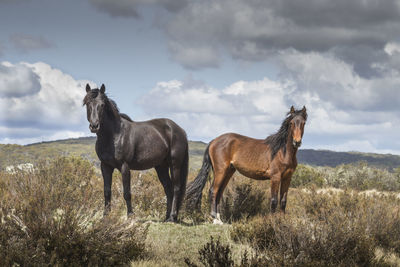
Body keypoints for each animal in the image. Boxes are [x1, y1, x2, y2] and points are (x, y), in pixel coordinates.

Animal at [83, 85, 189, 223]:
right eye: (87, 103)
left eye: (102, 105)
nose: (94, 126)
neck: (114, 135)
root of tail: (180, 130)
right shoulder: (105, 166)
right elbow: (107, 191)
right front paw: (105, 217)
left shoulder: (124, 166)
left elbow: (127, 193)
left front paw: (130, 216)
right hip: (161, 167)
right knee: (168, 189)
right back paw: (166, 217)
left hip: (175, 164)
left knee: (176, 188)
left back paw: (172, 217)